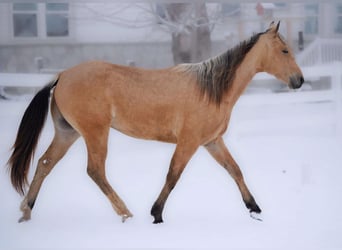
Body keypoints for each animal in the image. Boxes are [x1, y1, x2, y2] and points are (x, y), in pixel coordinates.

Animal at [8, 21, 304, 224]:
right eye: (284, 50)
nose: (299, 81)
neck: (211, 90)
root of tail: (61, 76)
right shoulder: (189, 142)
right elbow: (173, 175)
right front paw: (156, 213)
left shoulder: (212, 141)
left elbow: (235, 170)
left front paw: (254, 208)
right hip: (95, 133)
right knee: (95, 171)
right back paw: (125, 212)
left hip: (68, 133)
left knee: (45, 164)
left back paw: (26, 211)